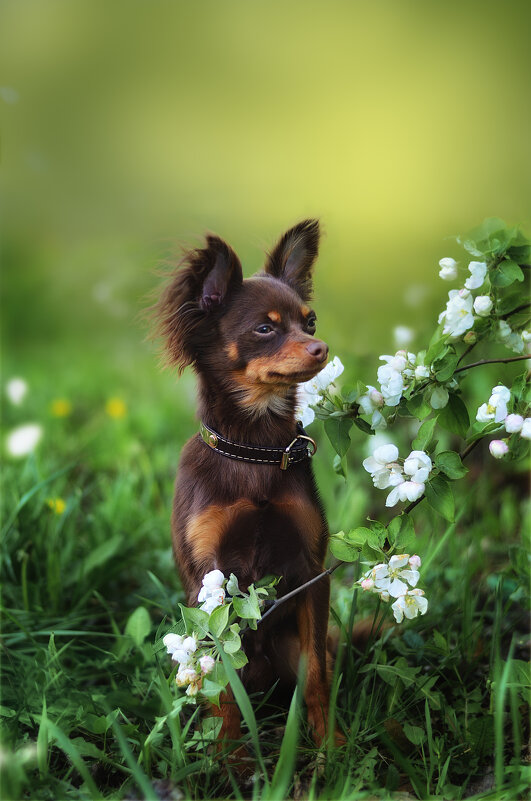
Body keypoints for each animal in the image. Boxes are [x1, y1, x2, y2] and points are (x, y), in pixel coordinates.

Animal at [155, 220, 336, 752]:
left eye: (310, 322)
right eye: (265, 328)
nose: (321, 348)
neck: (253, 446)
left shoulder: (311, 575)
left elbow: (317, 679)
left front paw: (333, 750)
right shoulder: (208, 583)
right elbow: (223, 693)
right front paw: (227, 759)